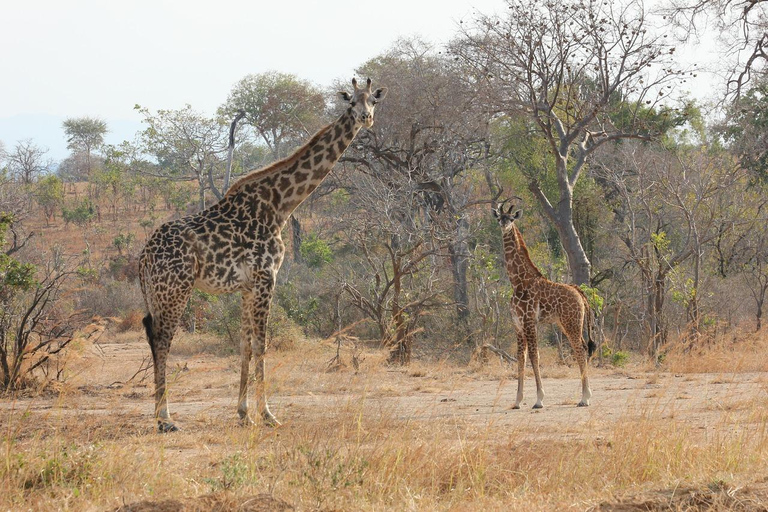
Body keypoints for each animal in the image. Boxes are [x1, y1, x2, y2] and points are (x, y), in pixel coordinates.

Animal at [139, 78, 388, 430]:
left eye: (373, 102)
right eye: (351, 102)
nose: (366, 118)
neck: (281, 205)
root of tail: (143, 256)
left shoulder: (247, 285)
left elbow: (244, 344)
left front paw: (244, 413)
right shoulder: (266, 277)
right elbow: (262, 343)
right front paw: (268, 414)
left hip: (156, 293)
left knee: (152, 335)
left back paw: (161, 413)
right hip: (175, 290)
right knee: (162, 339)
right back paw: (165, 418)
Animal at [492, 199, 592, 408]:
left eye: (511, 218)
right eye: (499, 217)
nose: (504, 225)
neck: (518, 281)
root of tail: (580, 294)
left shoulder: (529, 321)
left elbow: (534, 356)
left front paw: (539, 399)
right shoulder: (518, 325)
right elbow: (520, 358)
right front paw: (517, 401)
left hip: (571, 323)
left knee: (580, 349)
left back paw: (585, 398)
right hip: (568, 323)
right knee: (583, 348)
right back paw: (585, 396)